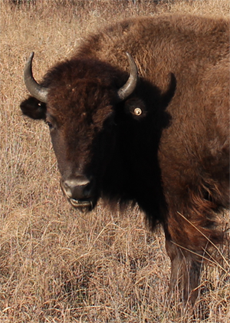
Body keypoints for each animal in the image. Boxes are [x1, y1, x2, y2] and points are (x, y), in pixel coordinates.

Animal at [20, 14, 230, 304]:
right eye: (51, 122)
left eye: (108, 122)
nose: (77, 188)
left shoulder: (182, 201)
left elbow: (185, 254)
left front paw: (181, 304)